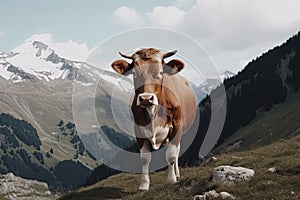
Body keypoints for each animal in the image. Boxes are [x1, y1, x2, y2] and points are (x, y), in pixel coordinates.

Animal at [111, 47, 196, 190]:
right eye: (134, 73)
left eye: (160, 72)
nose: (146, 98)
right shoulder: (138, 128)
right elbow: (145, 159)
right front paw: (144, 184)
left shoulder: (177, 126)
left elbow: (171, 154)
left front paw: (171, 179)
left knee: (176, 152)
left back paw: (177, 174)